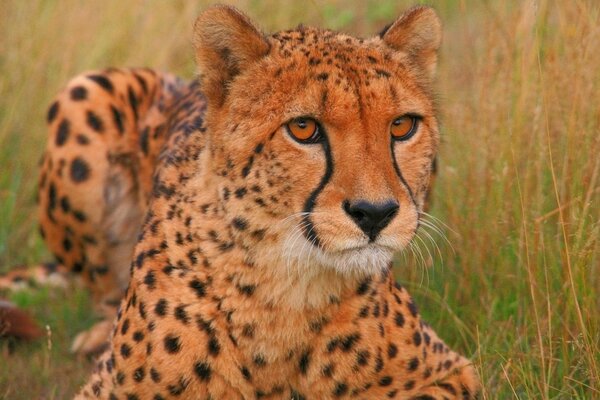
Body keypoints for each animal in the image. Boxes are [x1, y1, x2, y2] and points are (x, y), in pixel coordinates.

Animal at [38, 4, 482, 398]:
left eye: (402, 125)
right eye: (303, 128)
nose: (375, 213)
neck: (284, 284)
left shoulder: (451, 373)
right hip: (82, 95)